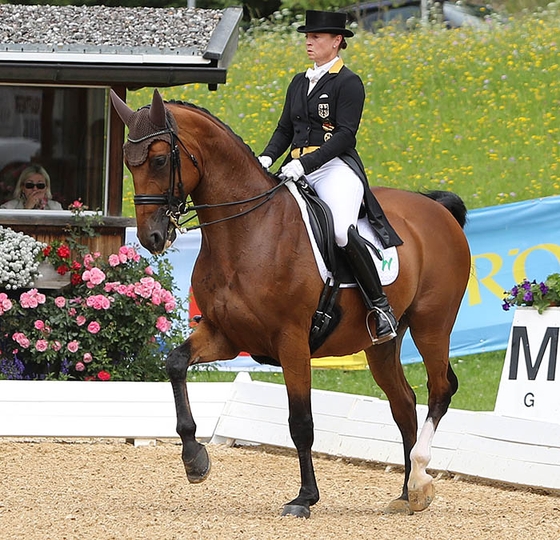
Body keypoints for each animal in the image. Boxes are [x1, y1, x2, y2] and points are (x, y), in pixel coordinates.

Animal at [111, 89, 470, 520]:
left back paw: (419, 479)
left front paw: (304, 497)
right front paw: (195, 460)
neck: (247, 231)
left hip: (432, 324)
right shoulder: (225, 335)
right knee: (404, 402)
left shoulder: (292, 341)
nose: (151, 236)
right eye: (128, 163)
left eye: (160, 160)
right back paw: (406, 494)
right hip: (382, 343)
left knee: (440, 389)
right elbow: (175, 363)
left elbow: (301, 422)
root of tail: (436, 209)